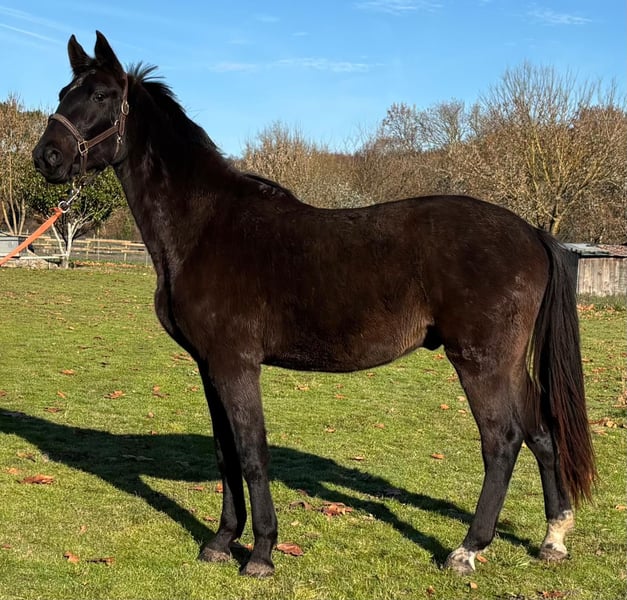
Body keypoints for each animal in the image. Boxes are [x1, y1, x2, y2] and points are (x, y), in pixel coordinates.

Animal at [33, 32, 596, 578]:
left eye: (101, 96)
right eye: (63, 92)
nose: (47, 156)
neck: (203, 228)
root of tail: (532, 233)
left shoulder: (236, 365)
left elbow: (252, 454)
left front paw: (261, 554)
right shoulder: (208, 366)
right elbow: (225, 454)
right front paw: (220, 542)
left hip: (481, 363)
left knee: (502, 441)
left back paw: (466, 550)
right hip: (508, 364)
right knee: (541, 432)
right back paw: (553, 538)